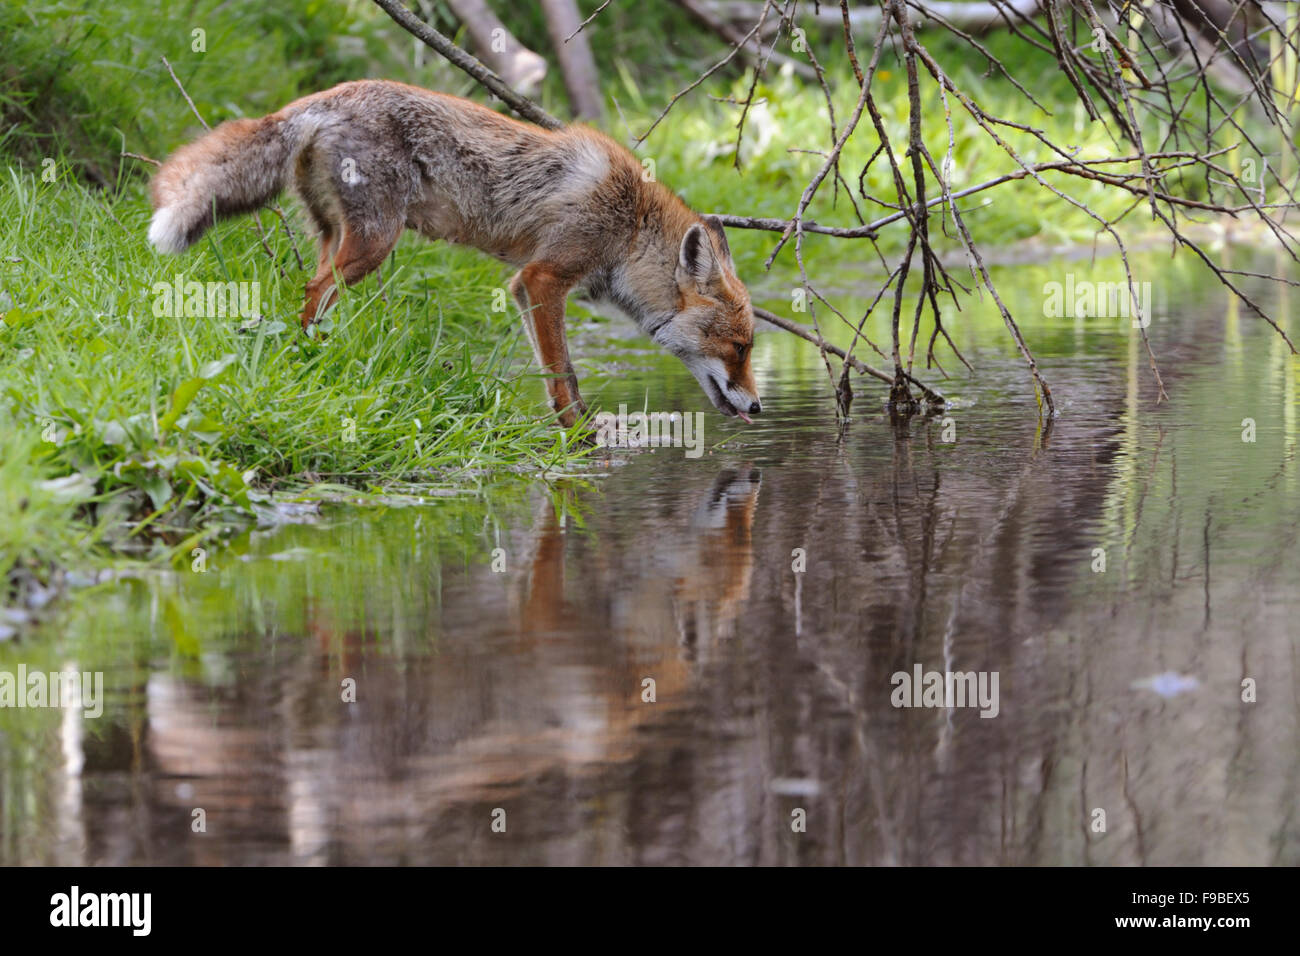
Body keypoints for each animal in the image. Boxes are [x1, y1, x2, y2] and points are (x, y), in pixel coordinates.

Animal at [148, 79, 759, 426]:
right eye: (738, 348)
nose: (759, 408)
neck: (631, 225)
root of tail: (322, 98)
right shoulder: (542, 278)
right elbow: (562, 369)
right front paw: (577, 433)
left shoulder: (528, 287)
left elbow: (557, 370)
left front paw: (578, 424)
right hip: (374, 242)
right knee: (314, 292)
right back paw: (306, 357)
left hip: (336, 237)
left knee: (310, 290)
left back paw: (315, 353)